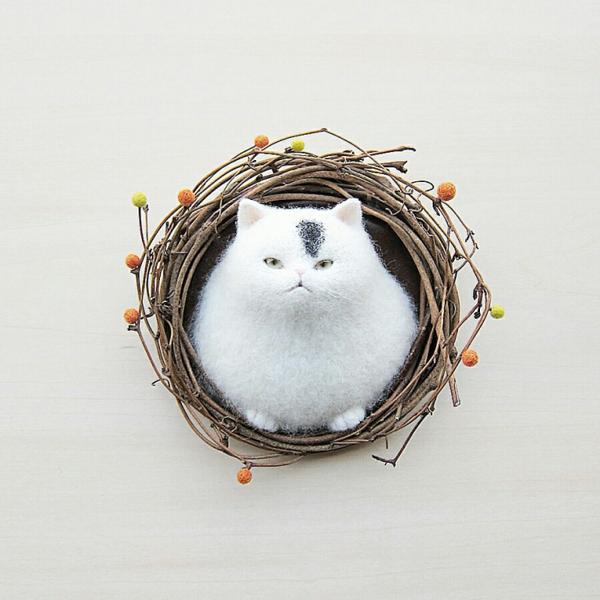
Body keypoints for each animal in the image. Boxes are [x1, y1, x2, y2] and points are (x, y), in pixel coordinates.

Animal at [191, 199, 418, 434]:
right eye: (272, 263)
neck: (299, 329)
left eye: (325, 264)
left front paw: (347, 416)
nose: (300, 273)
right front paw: (262, 417)